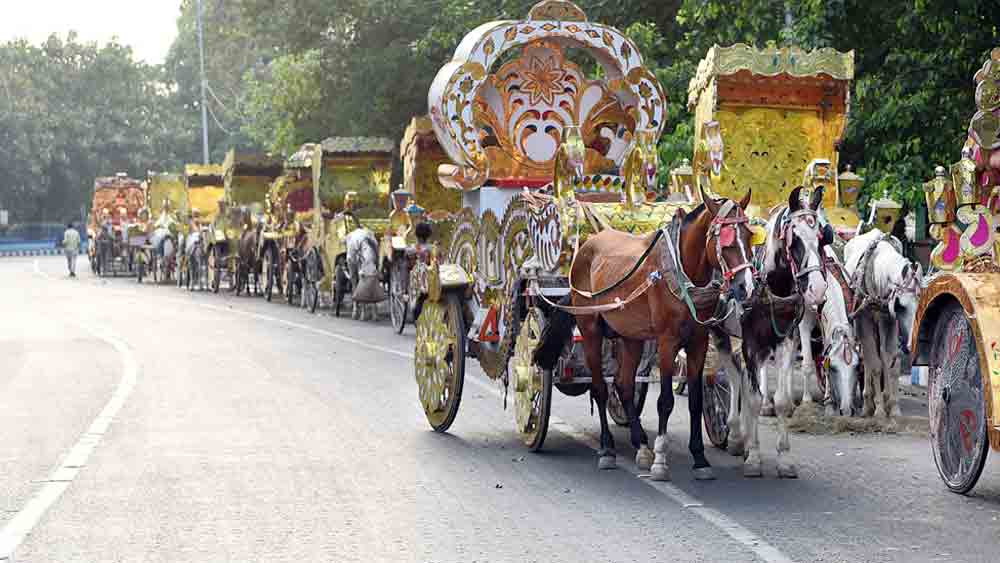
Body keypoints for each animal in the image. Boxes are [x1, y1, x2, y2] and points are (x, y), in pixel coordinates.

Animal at [536, 187, 752, 478]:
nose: (745, 287)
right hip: (590, 330)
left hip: (631, 337)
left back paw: (640, 446)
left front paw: (699, 458)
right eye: (726, 241)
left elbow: (695, 401)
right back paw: (608, 449)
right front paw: (660, 460)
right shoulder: (667, 342)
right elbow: (665, 401)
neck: (681, 273)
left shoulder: (698, 340)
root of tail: (587, 245)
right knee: (600, 388)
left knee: (624, 385)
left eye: (749, 235)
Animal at [796, 249, 860, 416]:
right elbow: (807, 364)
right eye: (834, 368)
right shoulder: (804, 325)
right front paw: (807, 401)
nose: (847, 410)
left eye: (857, 367)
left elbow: (825, 354)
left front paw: (828, 399)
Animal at [844, 229, 920, 418]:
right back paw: (867, 403)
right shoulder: (863, 320)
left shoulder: (889, 320)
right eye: (901, 306)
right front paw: (877, 409)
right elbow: (875, 365)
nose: (910, 345)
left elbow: (891, 361)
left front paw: (893, 408)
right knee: (868, 359)